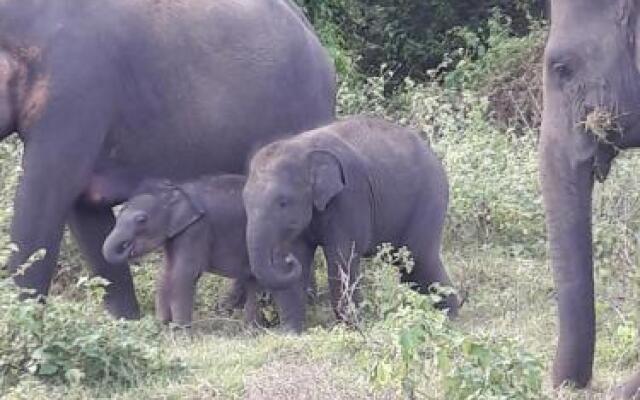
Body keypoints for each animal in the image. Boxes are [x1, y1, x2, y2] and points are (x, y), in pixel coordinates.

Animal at [101, 176, 308, 332]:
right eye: (119, 214)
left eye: (141, 220)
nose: (128, 247)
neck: (176, 190)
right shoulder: (178, 233)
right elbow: (165, 273)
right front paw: (160, 327)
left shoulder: (197, 229)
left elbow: (182, 274)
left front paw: (181, 333)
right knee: (254, 281)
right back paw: (252, 331)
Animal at [242, 115, 458, 318]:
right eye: (245, 202)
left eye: (283, 202)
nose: (288, 261)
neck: (300, 148)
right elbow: (300, 256)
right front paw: (291, 330)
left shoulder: (349, 196)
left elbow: (340, 258)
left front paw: (355, 324)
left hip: (430, 197)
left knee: (419, 260)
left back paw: (449, 316)